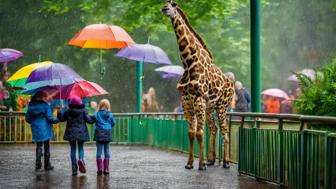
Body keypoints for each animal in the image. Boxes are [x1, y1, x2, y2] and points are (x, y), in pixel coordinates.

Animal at [162, 0, 235, 171]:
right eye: (164, 4)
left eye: (173, 5)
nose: (164, 9)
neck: (189, 62)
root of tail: (232, 84)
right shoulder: (186, 100)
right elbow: (191, 133)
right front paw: (190, 163)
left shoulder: (199, 99)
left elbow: (200, 133)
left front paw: (200, 165)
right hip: (210, 107)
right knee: (214, 128)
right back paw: (211, 160)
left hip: (221, 106)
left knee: (225, 130)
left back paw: (226, 162)